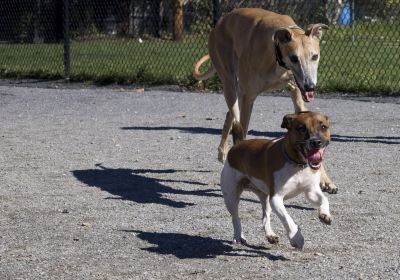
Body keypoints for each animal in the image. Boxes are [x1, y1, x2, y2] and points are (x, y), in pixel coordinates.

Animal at [192, 8, 336, 192]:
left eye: (315, 56)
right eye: (294, 58)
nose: (310, 86)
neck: (277, 57)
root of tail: (219, 24)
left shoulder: (297, 93)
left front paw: (325, 180)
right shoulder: (248, 98)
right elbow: (243, 131)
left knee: (230, 114)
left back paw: (223, 151)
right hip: (230, 82)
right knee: (234, 114)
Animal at [220, 111, 332, 249]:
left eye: (323, 127)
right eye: (301, 128)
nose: (316, 142)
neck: (297, 165)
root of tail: (239, 143)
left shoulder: (311, 191)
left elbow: (324, 199)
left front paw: (325, 214)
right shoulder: (276, 198)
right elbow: (287, 218)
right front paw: (296, 238)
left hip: (265, 198)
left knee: (265, 217)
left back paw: (270, 235)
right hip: (231, 196)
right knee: (235, 217)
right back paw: (238, 236)